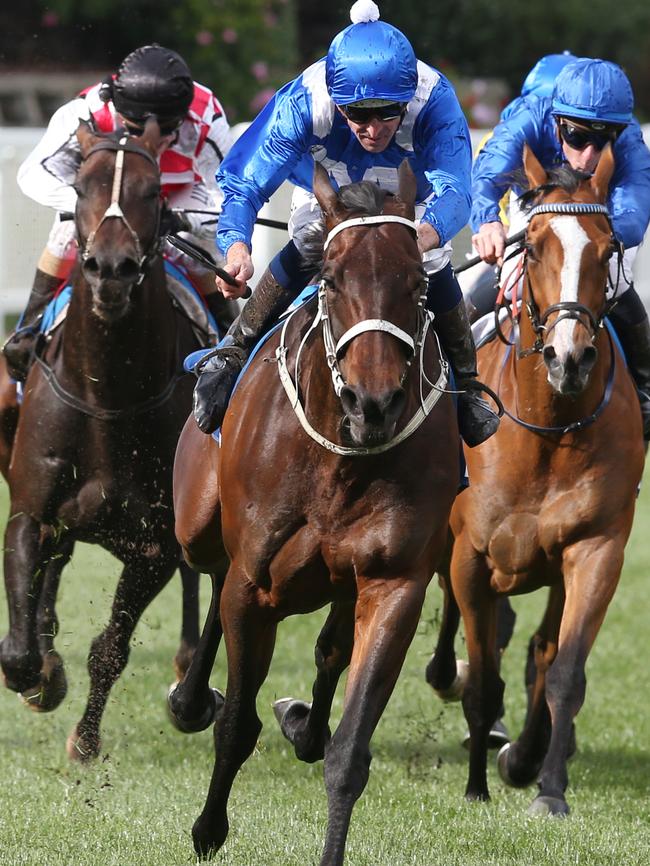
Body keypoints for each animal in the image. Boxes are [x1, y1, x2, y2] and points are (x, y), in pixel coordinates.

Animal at [0, 120, 210, 756]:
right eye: (81, 185)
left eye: (152, 190)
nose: (111, 269)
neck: (107, 398)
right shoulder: (32, 509)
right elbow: (18, 653)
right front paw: (42, 677)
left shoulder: (153, 545)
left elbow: (111, 648)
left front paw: (86, 740)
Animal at [170, 160, 458, 856]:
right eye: (330, 279)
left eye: (419, 283)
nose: (374, 401)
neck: (342, 460)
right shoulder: (256, 582)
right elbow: (236, 724)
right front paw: (208, 830)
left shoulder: (393, 582)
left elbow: (349, 751)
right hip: (200, 523)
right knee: (212, 569)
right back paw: (190, 698)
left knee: (329, 647)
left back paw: (303, 722)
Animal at [426, 145, 644, 812]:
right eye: (537, 245)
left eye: (606, 248)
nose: (569, 358)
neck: (547, 429)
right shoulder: (472, 555)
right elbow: (482, 676)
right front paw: (476, 786)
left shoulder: (595, 549)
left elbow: (563, 669)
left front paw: (545, 787)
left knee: (541, 651)